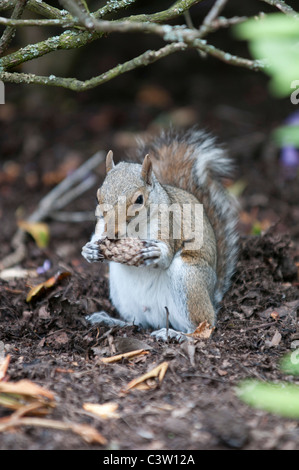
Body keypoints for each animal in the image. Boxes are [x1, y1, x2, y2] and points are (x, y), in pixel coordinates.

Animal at [81, 129, 239, 342]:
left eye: (139, 199)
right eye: (98, 196)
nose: (111, 233)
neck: (134, 229)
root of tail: (212, 292)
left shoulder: (168, 223)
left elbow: (167, 253)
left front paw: (156, 252)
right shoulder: (100, 225)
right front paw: (89, 250)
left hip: (188, 279)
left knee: (204, 326)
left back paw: (177, 334)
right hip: (121, 292)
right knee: (137, 323)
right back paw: (110, 320)